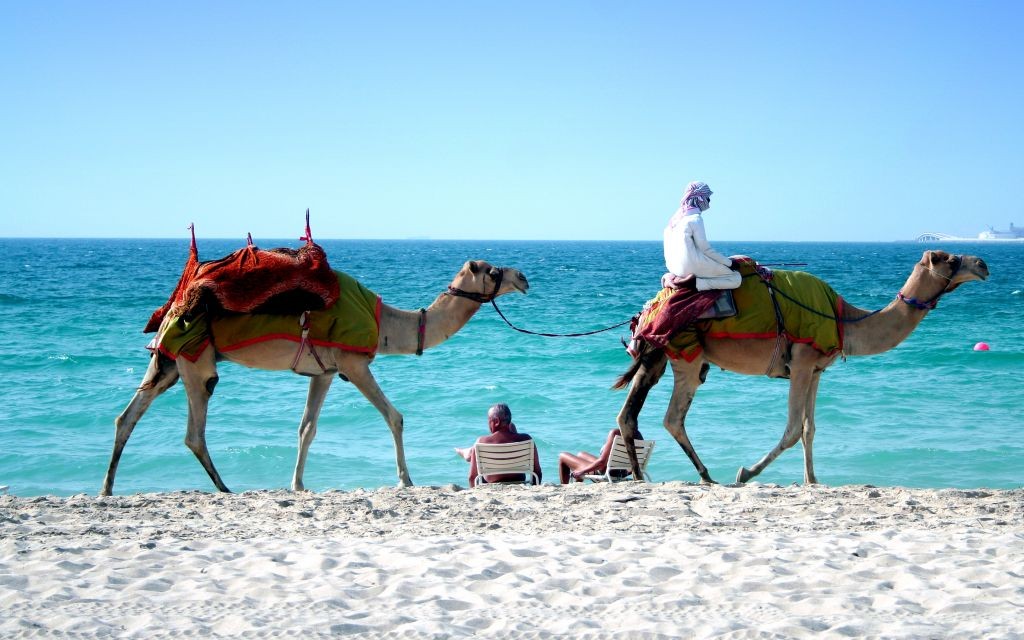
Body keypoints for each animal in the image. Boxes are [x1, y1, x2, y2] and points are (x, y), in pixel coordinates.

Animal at [610, 249, 987, 483]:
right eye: (950, 258)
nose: (983, 263)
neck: (843, 319)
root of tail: (649, 308)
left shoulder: (817, 371)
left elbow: (809, 429)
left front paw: (812, 480)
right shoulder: (803, 362)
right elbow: (792, 429)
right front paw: (745, 473)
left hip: (658, 357)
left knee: (629, 414)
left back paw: (642, 476)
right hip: (687, 357)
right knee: (672, 417)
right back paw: (706, 475)